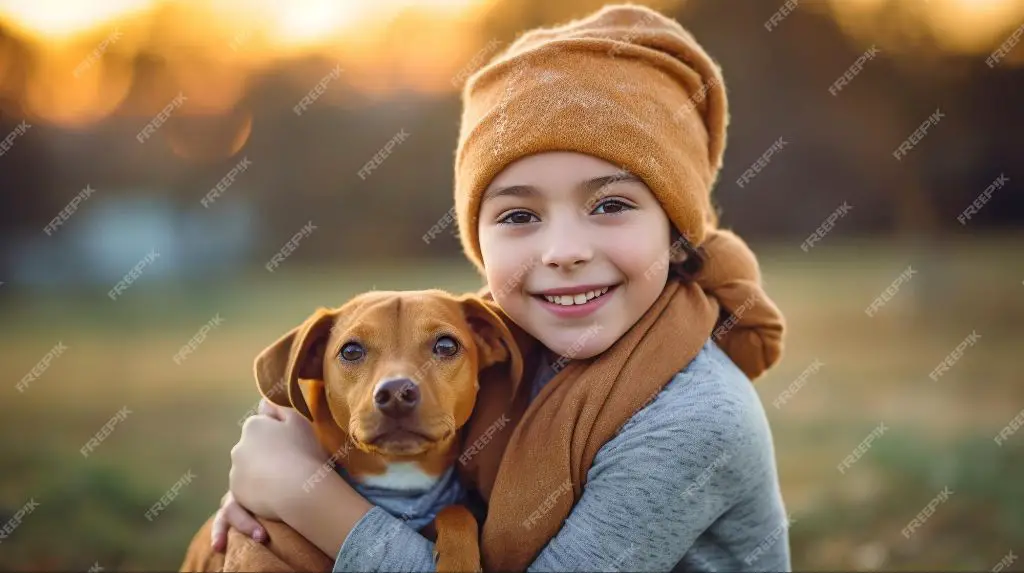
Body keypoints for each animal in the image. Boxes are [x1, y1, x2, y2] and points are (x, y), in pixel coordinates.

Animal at [177, 290, 524, 573]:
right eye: (351, 351)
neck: (400, 481)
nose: (396, 393)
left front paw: (458, 558)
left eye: (446, 345)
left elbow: (456, 511)